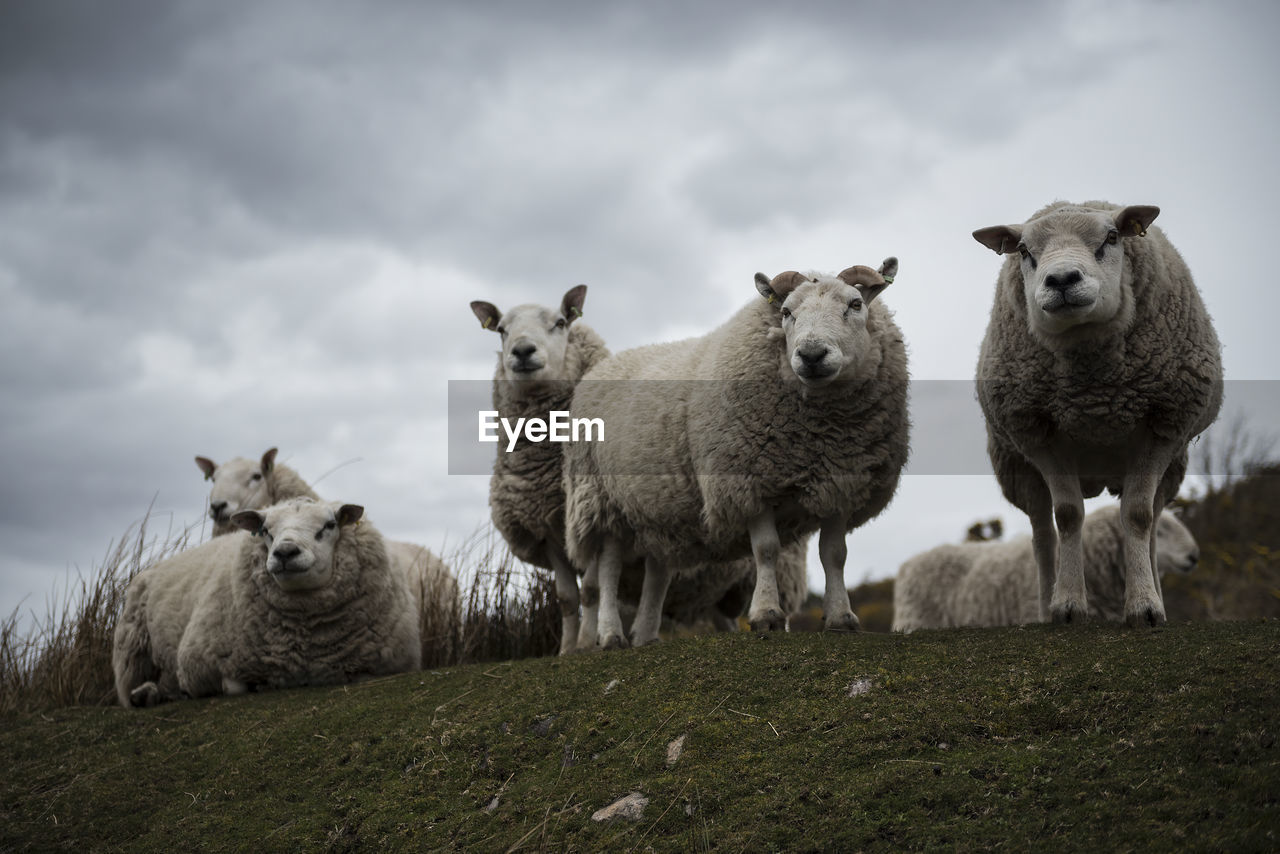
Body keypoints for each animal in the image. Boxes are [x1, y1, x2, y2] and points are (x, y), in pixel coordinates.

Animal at [112, 494, 417, 706]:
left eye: (330, 525)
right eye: (266, 530)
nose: (285, 552)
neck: (304, 642)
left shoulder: (387, 664)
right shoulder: (196, 665)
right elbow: (232, 686)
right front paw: (260, 685)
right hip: (132, 652)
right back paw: (147, 694)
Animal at [563, 258, 911, 647]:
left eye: (855, 304)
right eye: (786, 312)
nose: (811, 355)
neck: (819, 437)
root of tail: (605, 366)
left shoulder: (840, 483)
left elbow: (834, 555)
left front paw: (841, 617)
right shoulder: (746, 481)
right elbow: (767, 549)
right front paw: (766, 616)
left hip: (654, 511)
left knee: (656, 573)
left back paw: (646, 636)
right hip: (601, 500)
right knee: (608, 570)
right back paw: (610, 635)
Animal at [972, 201, 1223, 627]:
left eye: (1112, 237)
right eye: (1023, 250)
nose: (1061, 279)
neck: (1095, 391)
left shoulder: (1162, 425)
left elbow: (1138, 516)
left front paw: (1144, 606)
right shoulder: (1040, 434)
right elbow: (1068, 515)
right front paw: (1068, 606)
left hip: (1172, 468)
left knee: (1151, 522)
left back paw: (1157, 595)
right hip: (1020, 469)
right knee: (1042, 535)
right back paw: (1045, 606)